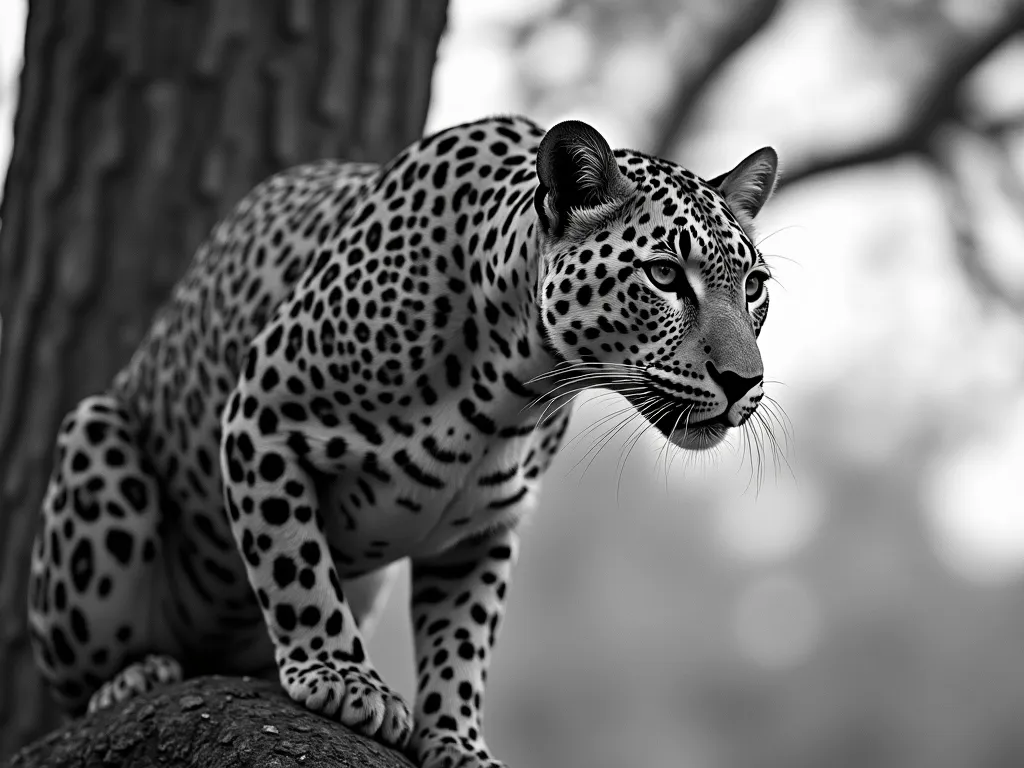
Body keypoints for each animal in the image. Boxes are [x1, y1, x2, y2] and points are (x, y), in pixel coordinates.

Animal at [27, 115, 778, 768]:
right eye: (664, 276)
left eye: (755, 288)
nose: (745, 381)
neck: (513, 385)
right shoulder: (261, 415)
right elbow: (294, 562)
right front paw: (342, 676)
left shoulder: (483, 526)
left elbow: (463, 640)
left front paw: (458, 742)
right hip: (96, 438)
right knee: (76, 686)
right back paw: (134, 675)